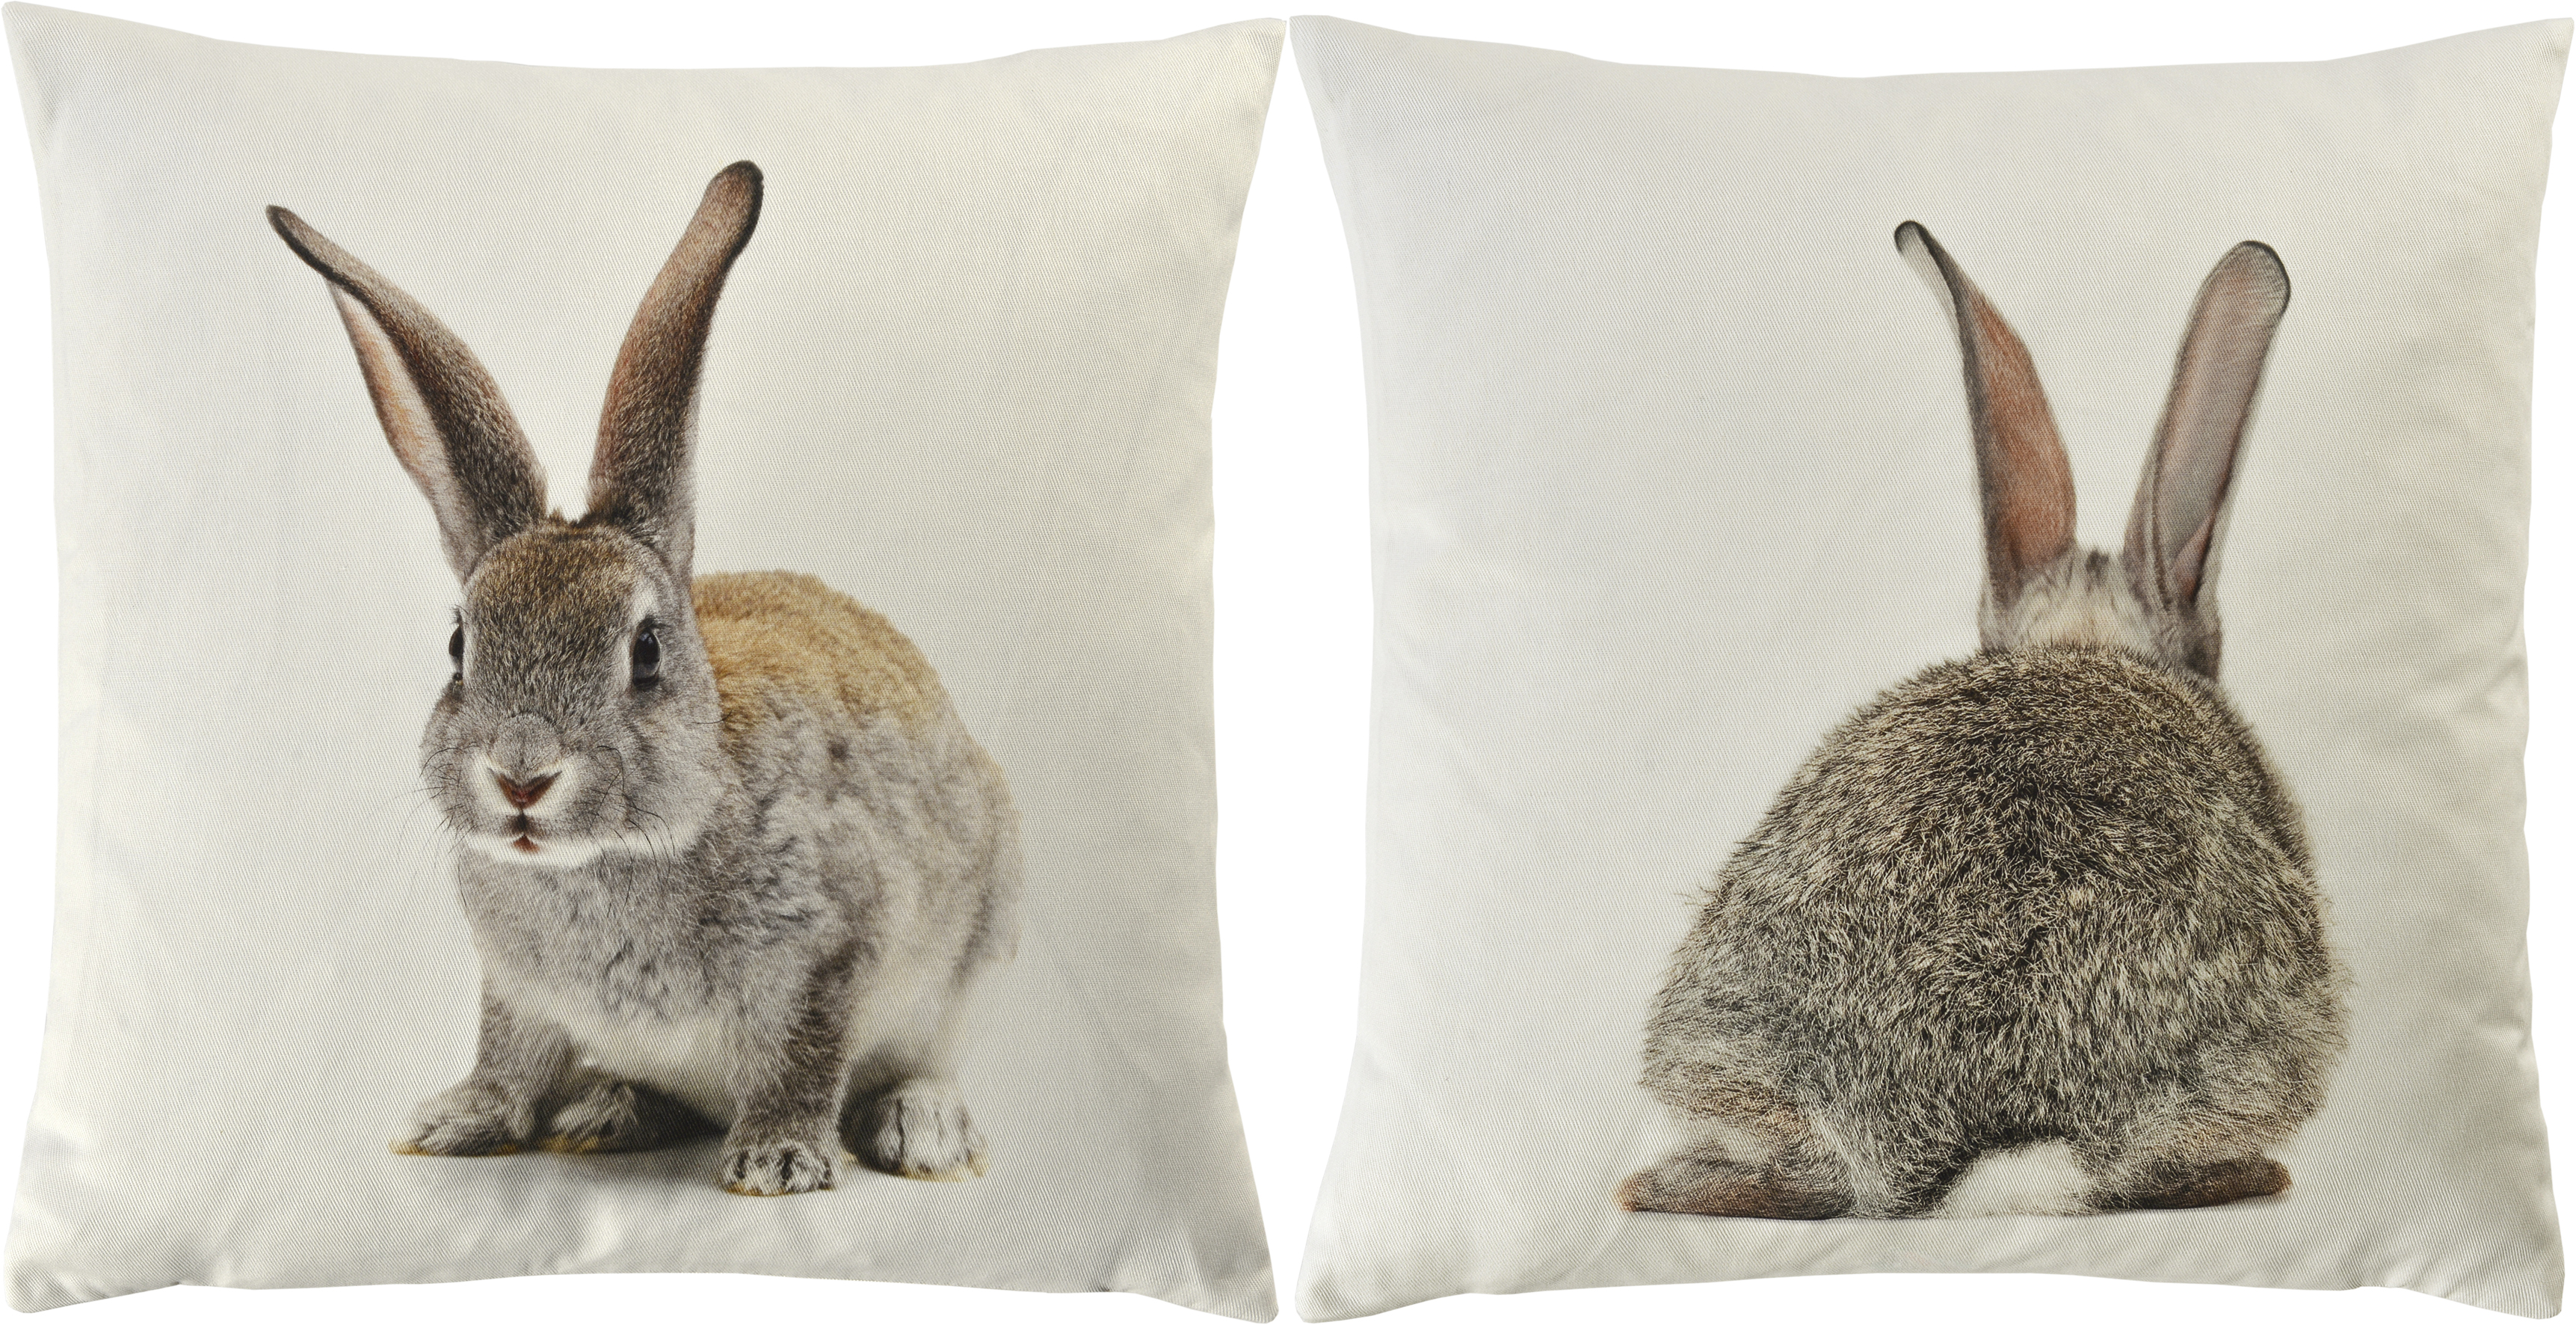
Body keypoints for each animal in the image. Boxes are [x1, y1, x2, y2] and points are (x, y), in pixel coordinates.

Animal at [269, 161, 1022, 1196]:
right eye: (461, 645)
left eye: (647, 651)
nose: (521, 774)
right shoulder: (515, 990)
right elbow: (507, 1054)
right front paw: (455, 1119)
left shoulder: (832, 951)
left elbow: (804, 1058)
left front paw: (778, 1159)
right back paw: (608, 1108)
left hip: (977, 946)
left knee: (927, 1061)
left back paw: (922, 1129)